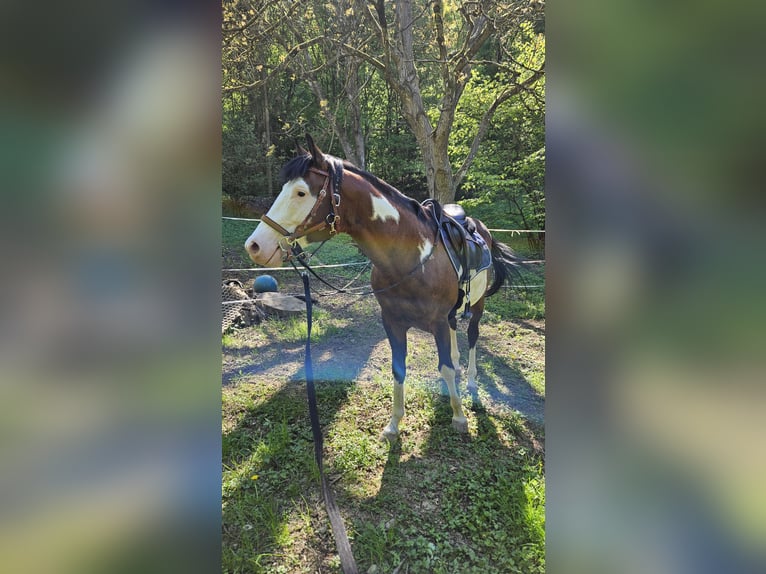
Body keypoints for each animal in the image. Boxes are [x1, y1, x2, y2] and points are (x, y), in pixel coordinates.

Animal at [245, 135, 521, 442]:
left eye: (301, 193)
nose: (255, 246)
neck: (412, 260)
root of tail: (480, 228)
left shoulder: (437, 321)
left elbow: (446, 368)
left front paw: (459, 417)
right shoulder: (392, 321)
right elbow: (400, 369)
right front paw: (394, 424)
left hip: (478, 304)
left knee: (472, 336)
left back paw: (470, 381)